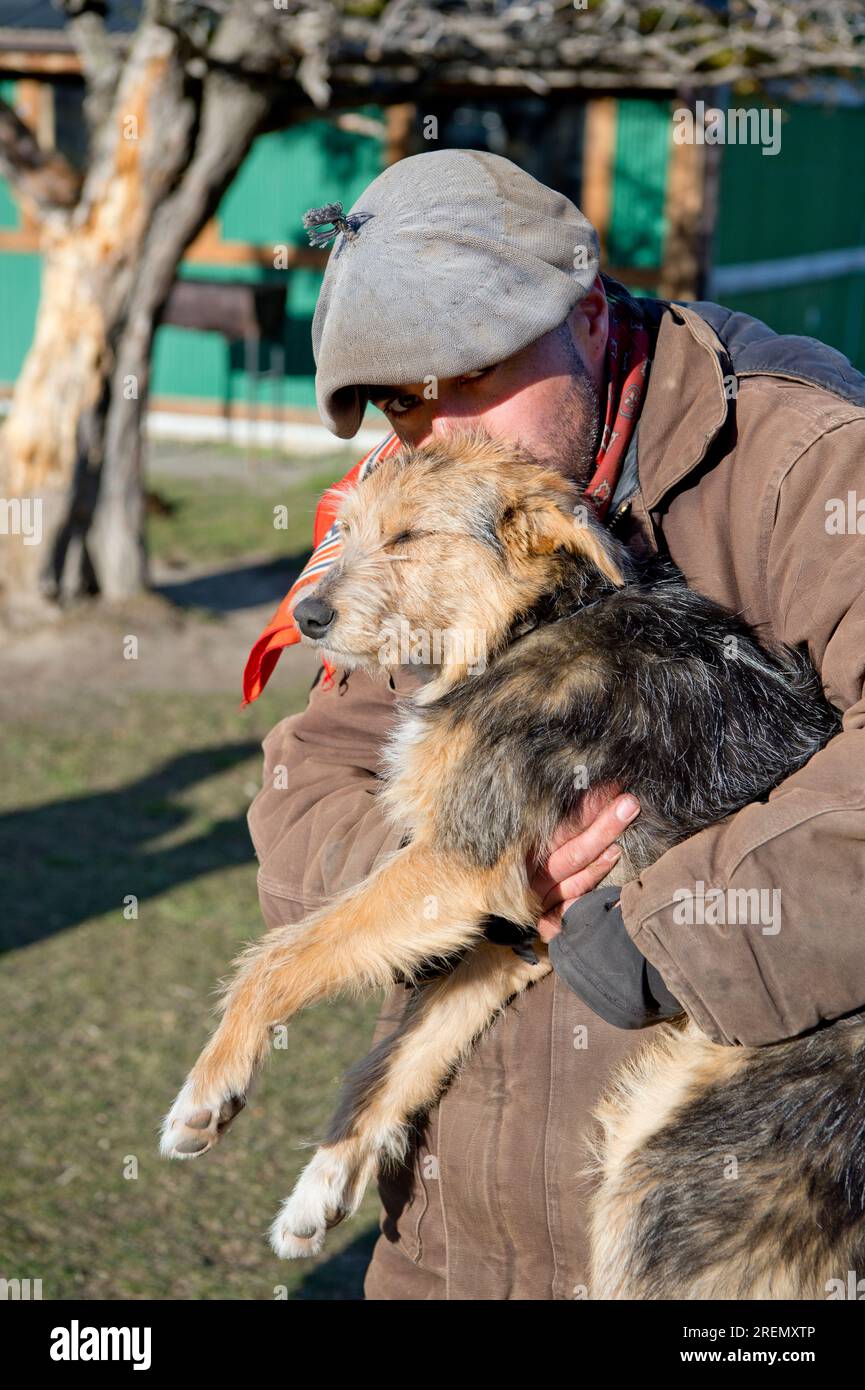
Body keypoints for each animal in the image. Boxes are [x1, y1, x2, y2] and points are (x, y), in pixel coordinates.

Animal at [164, 428, 865, 1295]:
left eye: (408, 536)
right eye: (347, 531)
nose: (306, 615)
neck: (530, 624)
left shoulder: (459, 863)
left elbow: (279, 956)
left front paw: (209, 1086)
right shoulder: (519, 922)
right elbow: (405, 1049)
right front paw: (323, 1181)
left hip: (670, 1181)